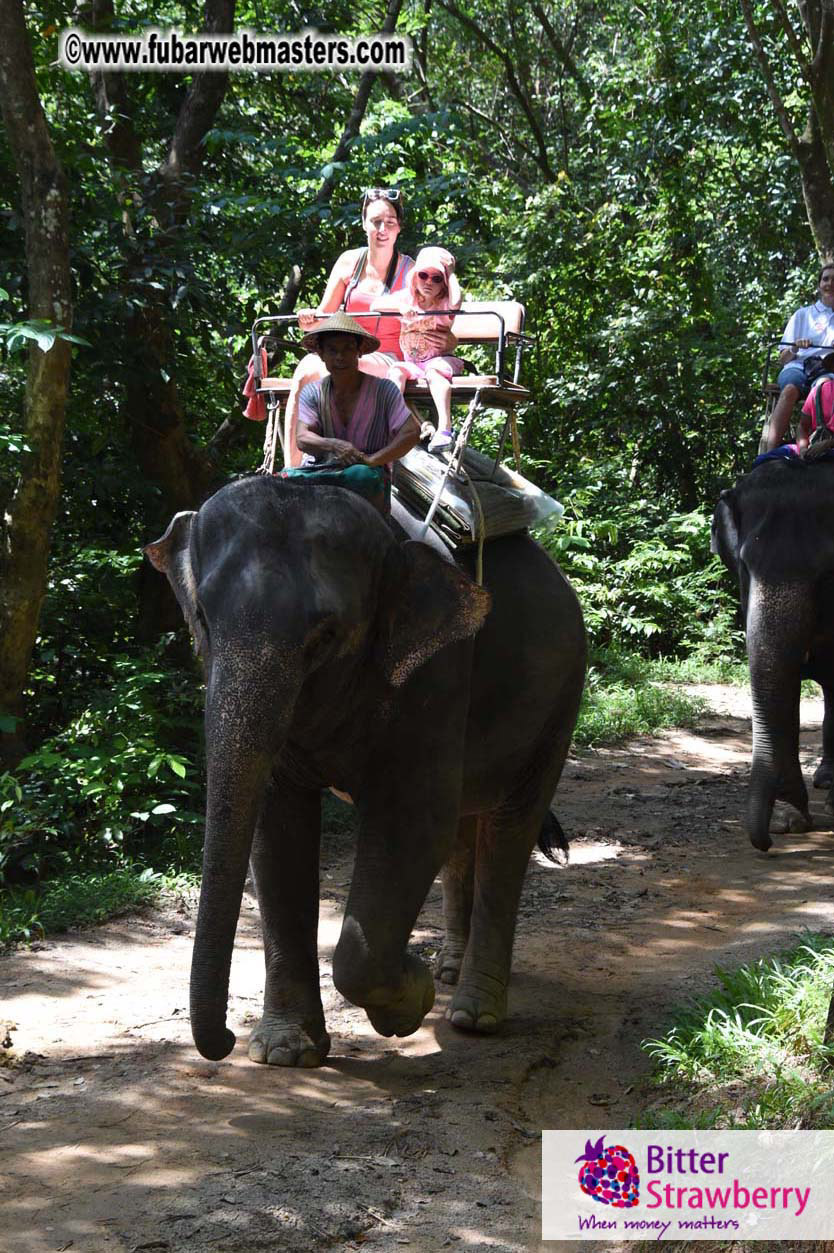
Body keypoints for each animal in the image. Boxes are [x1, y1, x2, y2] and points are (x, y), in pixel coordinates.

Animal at [145, 475, 586, 1066]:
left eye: (325, 637)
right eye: (205, 621)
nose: (227, 1041)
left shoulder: (436, 675)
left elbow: (414, 826)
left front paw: (409, 1002)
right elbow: (275, 830)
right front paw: (285, 1053)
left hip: (562, 696)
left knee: (511, 828)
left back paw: (473, 1014)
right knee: (465, 827)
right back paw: (450, 968)